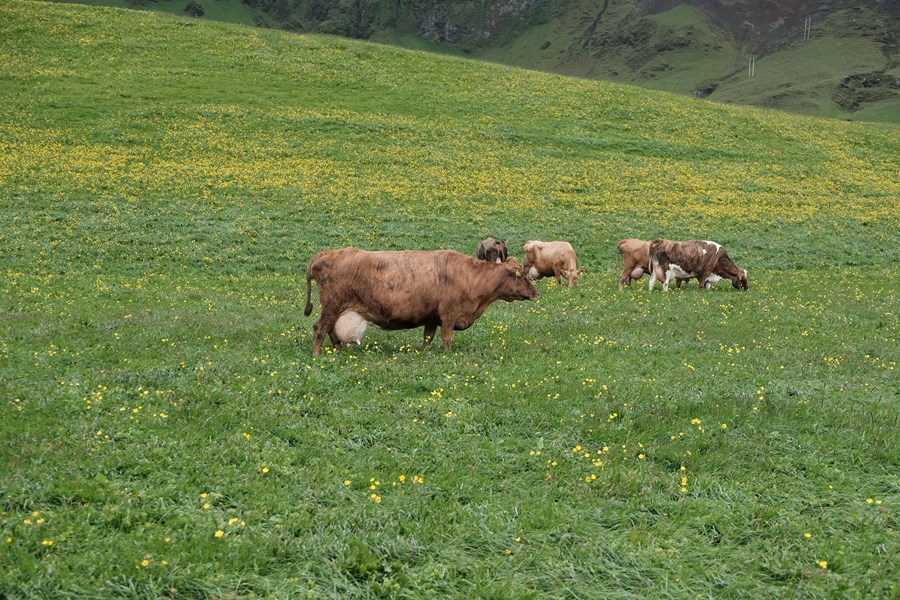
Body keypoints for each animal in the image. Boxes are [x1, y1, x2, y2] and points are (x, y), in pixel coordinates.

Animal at [306, 248, 536, 356]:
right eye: (523, 277)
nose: (535, 294)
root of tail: (325, 253)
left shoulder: (432, 318)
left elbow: (428, 337)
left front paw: (423, 353)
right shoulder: (449, 314)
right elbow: (447, 338)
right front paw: (448, 355)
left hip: (335, 309)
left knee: (330, 330)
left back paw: (337, 350)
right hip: (332, 305)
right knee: (319, 328)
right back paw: (317, 355)